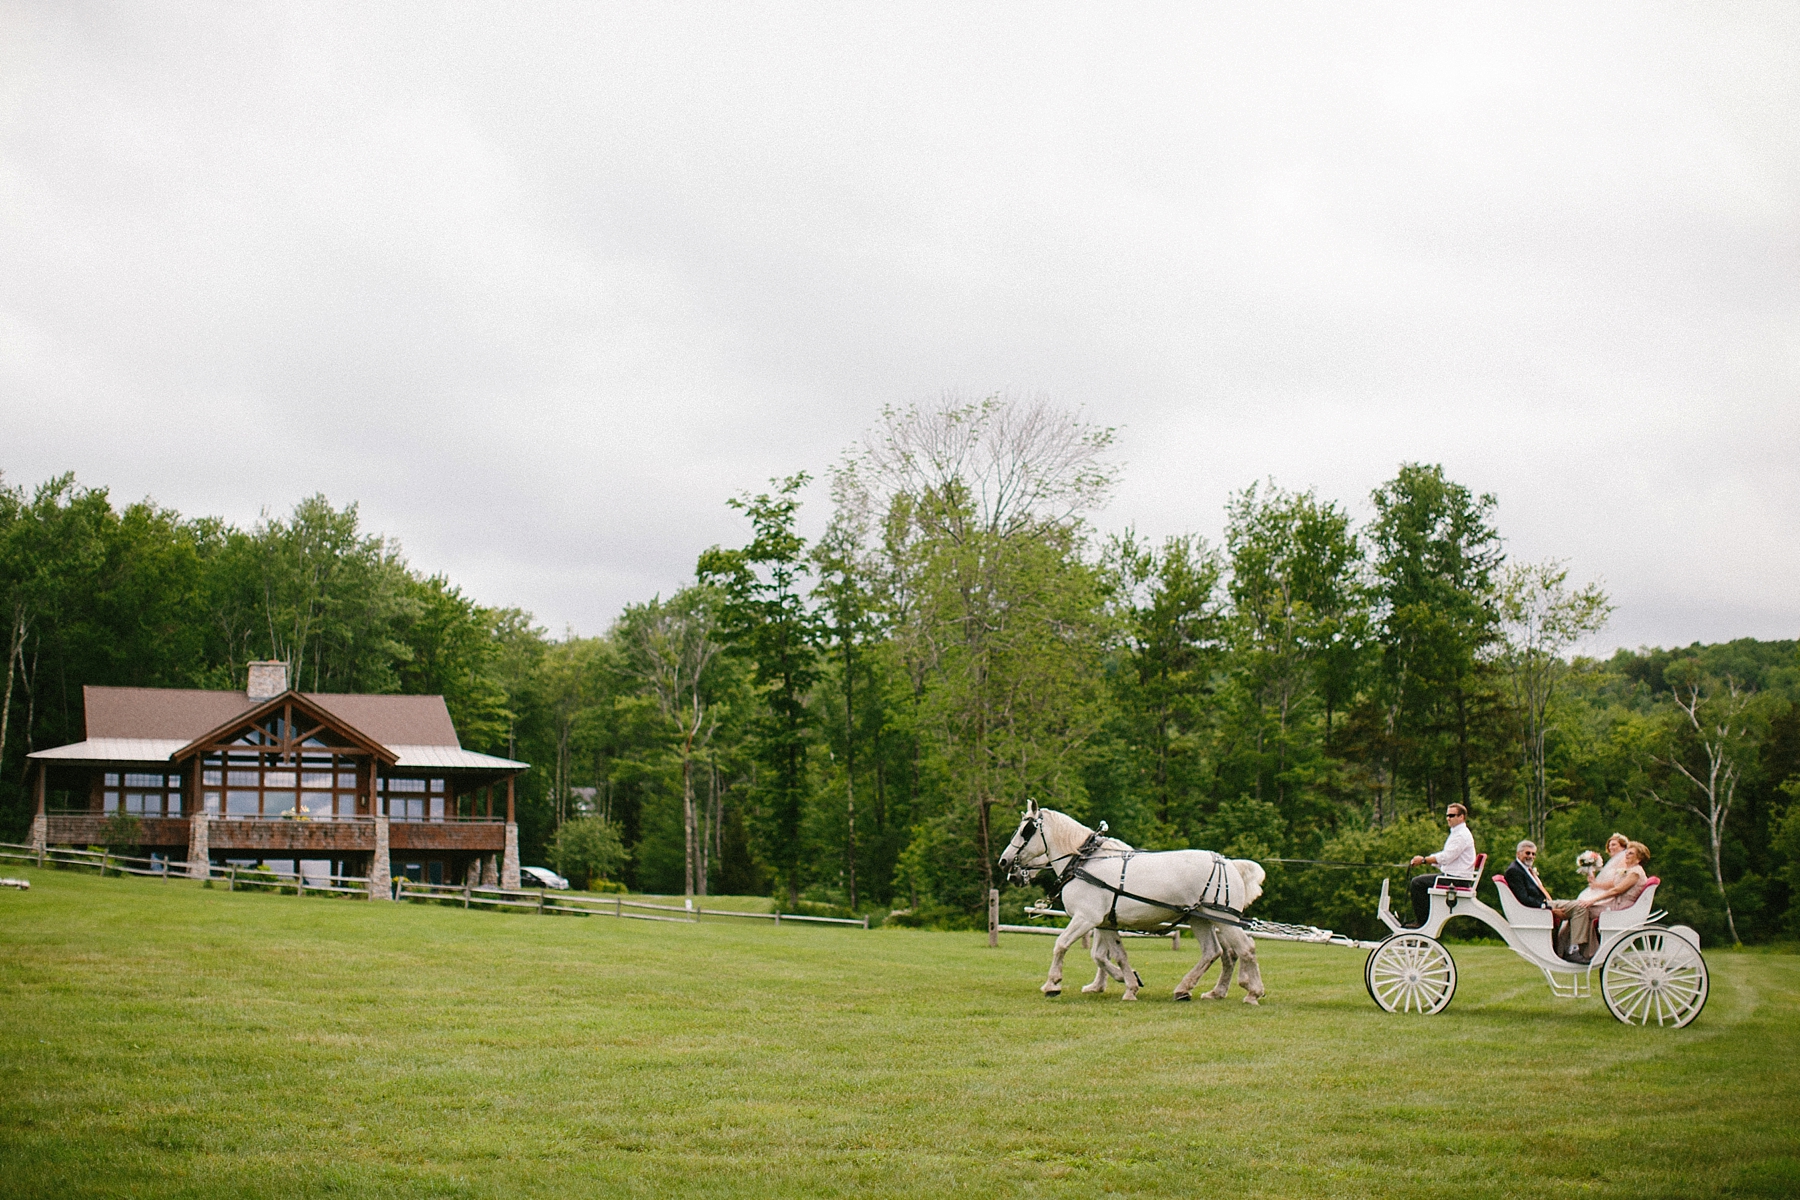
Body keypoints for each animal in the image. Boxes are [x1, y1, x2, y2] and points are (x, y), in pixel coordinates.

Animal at [1000, 805, 1267, 1007]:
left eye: (1026, 830)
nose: (1004, 863)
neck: (1083, 862)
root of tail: (1228, 863)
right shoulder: (1105, 923)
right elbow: (1114, 955)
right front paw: (1130, 985)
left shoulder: (1086, 918)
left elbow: (1061, 945)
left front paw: (1052, 984)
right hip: (1200, 918)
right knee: (1213, 952)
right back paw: (1186, 989)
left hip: (1225, 919)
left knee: (1245, 948)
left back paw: (1252, 992)